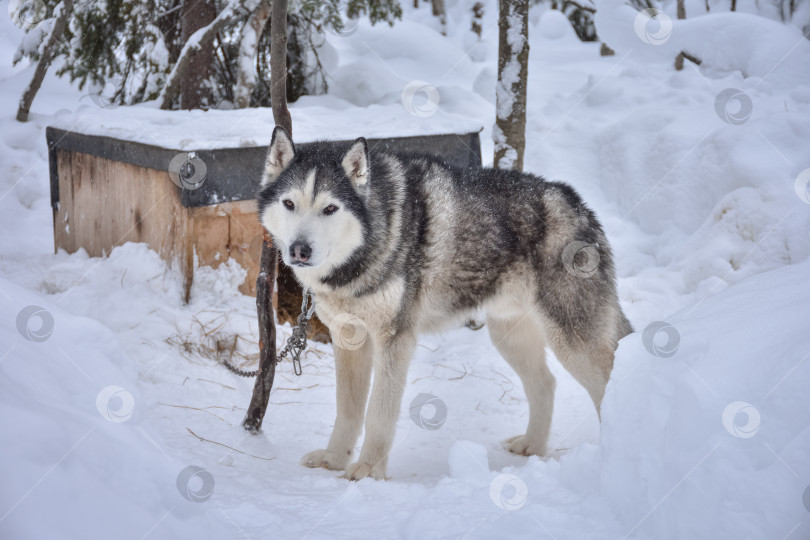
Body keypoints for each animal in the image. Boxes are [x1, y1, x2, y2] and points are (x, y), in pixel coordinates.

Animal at [258, 127, 632, 480]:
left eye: (330, 208)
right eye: (289, 204)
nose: (299, 250)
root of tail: (576, 202)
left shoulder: (396, 340)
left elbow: (379, 413)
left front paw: (368, 471)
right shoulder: (349, 338)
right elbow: (347, 410)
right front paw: (334, 459)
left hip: (572, 344)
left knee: (608, 387)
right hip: (507, 336)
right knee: (546, 383)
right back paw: (532, 446)